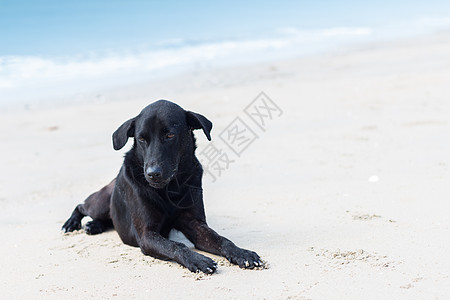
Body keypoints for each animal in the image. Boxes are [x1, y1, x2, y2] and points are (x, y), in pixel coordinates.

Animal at [61, 100, 262, 274]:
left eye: (170, 135)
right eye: (141, 139)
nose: (153, 173)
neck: (170, 189)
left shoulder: (195, 224)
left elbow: (222, 240)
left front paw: (243, 253)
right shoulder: (147, 235)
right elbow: (175, 245)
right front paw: (197, 260)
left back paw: (94, 225)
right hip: (101, 203)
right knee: (81, 205)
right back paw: (72, 223)